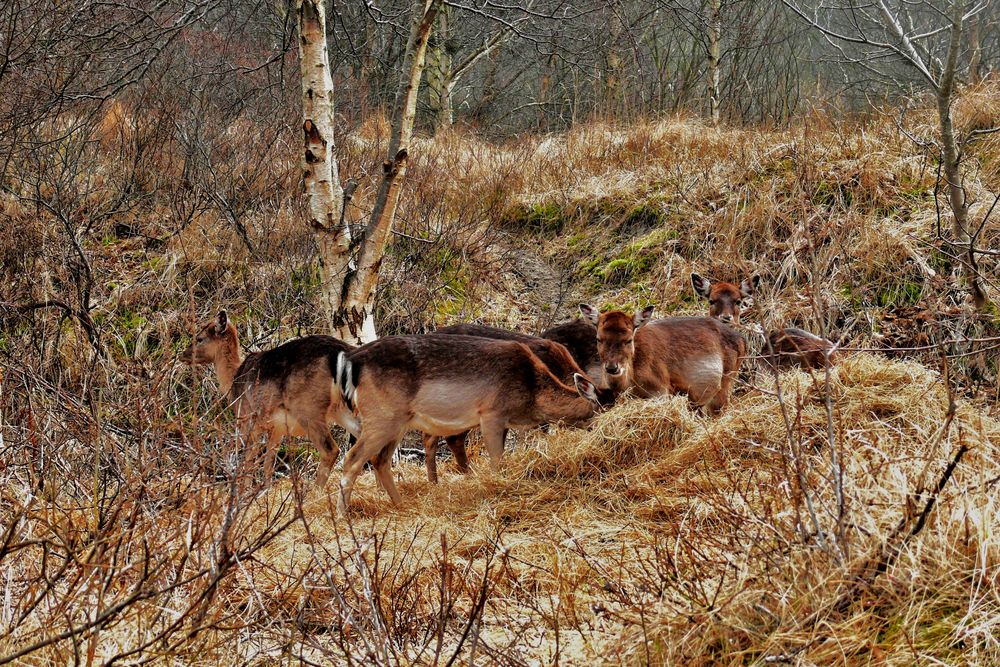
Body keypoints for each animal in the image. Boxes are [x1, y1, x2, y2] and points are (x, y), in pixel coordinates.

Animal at [181, 310, 360, 488]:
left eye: (200, 338)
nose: (183, 354)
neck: (234, 378)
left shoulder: (248, 419)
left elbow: (248, 461)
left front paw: (245, 490)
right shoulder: (277, 428)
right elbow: (268, 464)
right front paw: (265, 490)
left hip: (308, 407)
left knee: (330, 449)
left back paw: (315, 491)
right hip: (342, 409)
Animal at [332, 336, 612, 516]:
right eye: (602, 409)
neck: (531, 393)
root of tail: (352, 361)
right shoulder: (491, 413)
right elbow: (496, 460)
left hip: (398, 422)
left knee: (380, 460)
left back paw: (401, 505)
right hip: (381, 415)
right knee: (353, 458)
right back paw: (343, 515)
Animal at [576, 302, 748, 412]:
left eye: (629, 339)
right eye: (598, 339)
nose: (612, 367)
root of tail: (742, 339)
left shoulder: (660, 390)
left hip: (726, 381)